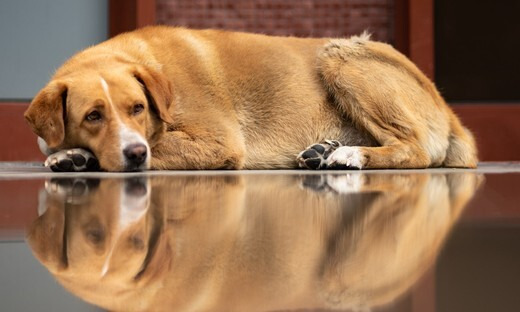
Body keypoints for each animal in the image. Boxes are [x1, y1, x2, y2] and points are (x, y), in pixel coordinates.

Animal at [25, 26, 480, 172]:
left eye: (137, 108)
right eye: (92, 116)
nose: (134, 155)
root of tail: (449, 111)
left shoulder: (216, 142)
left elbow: (159, 144)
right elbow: (55, 145)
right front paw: (70, 155)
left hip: (342, 55)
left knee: (415, 150)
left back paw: (350, 155)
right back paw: (325, 150)